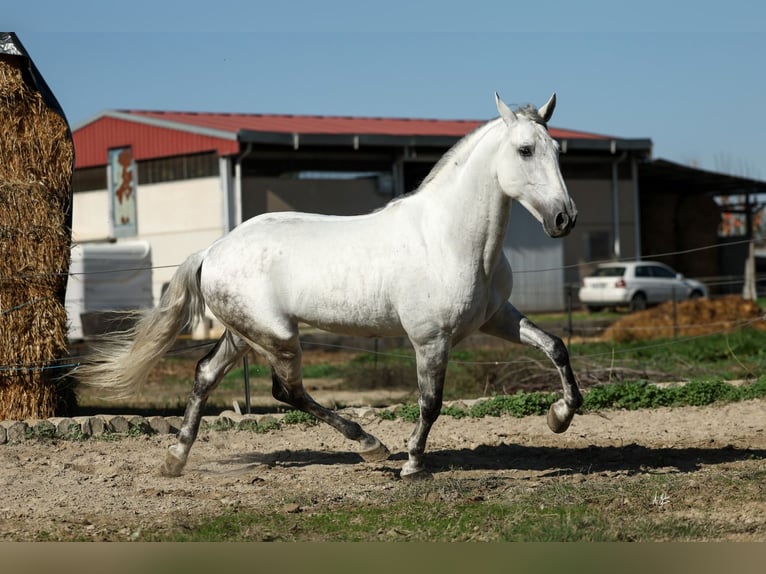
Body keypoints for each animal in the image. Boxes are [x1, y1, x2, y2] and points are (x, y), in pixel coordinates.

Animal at [78, 92, 584, 480]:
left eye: (558, 152)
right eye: (524, 150)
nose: (565, 219)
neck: (450, 239)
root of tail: (213, 251)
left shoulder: (497, 318)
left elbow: (555, 346)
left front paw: (560, 416)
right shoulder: (430, 339)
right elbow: (430, 402)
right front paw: (413, 464)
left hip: (244, 335)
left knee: (205, 374)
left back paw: (175, 459)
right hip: (278, 337)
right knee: (287, 392)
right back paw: (370, 445)